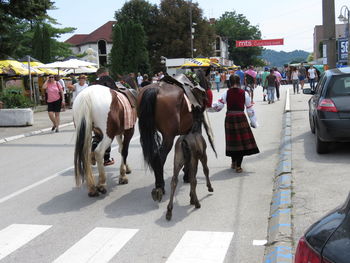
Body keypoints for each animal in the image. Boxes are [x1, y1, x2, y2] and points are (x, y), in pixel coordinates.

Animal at [136, 69, 213, 202]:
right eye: (207, 81)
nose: (208, 98)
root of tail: (155, 89)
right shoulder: (194, 129)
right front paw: (187, 175)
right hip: (168, 136)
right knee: (160, 157)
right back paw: (160, 187)